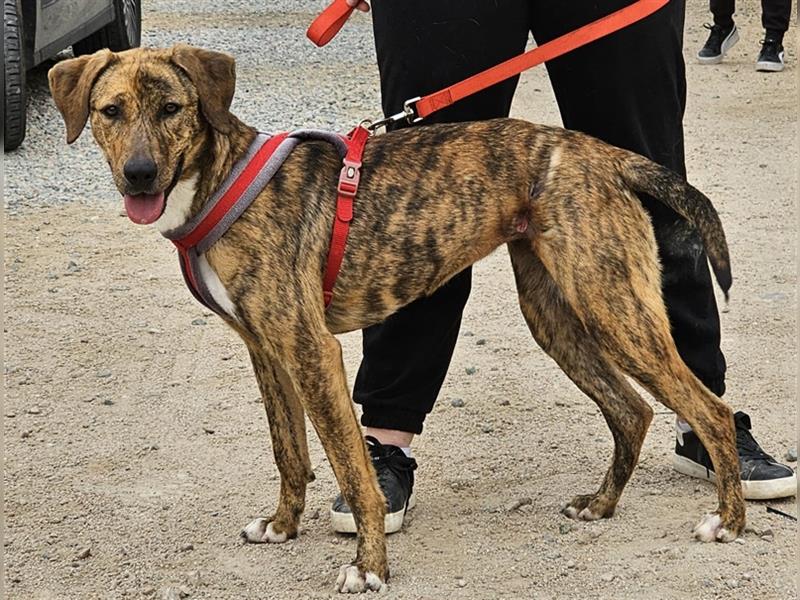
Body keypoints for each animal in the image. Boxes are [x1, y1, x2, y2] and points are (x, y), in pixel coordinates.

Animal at [51, 45, 752, 592]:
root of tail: (603, 154)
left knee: (710, 410)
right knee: (630, 411)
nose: (139, 176)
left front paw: (369, 567)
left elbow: (352, 470)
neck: (219, 181)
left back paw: (729, 520)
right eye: (111, 112)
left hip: (614, 307)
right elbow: (287, 450)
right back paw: (603, 505)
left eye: (171, 109)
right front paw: (282, 525)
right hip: (556, 315)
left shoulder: (311, 350)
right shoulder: (266, 349)